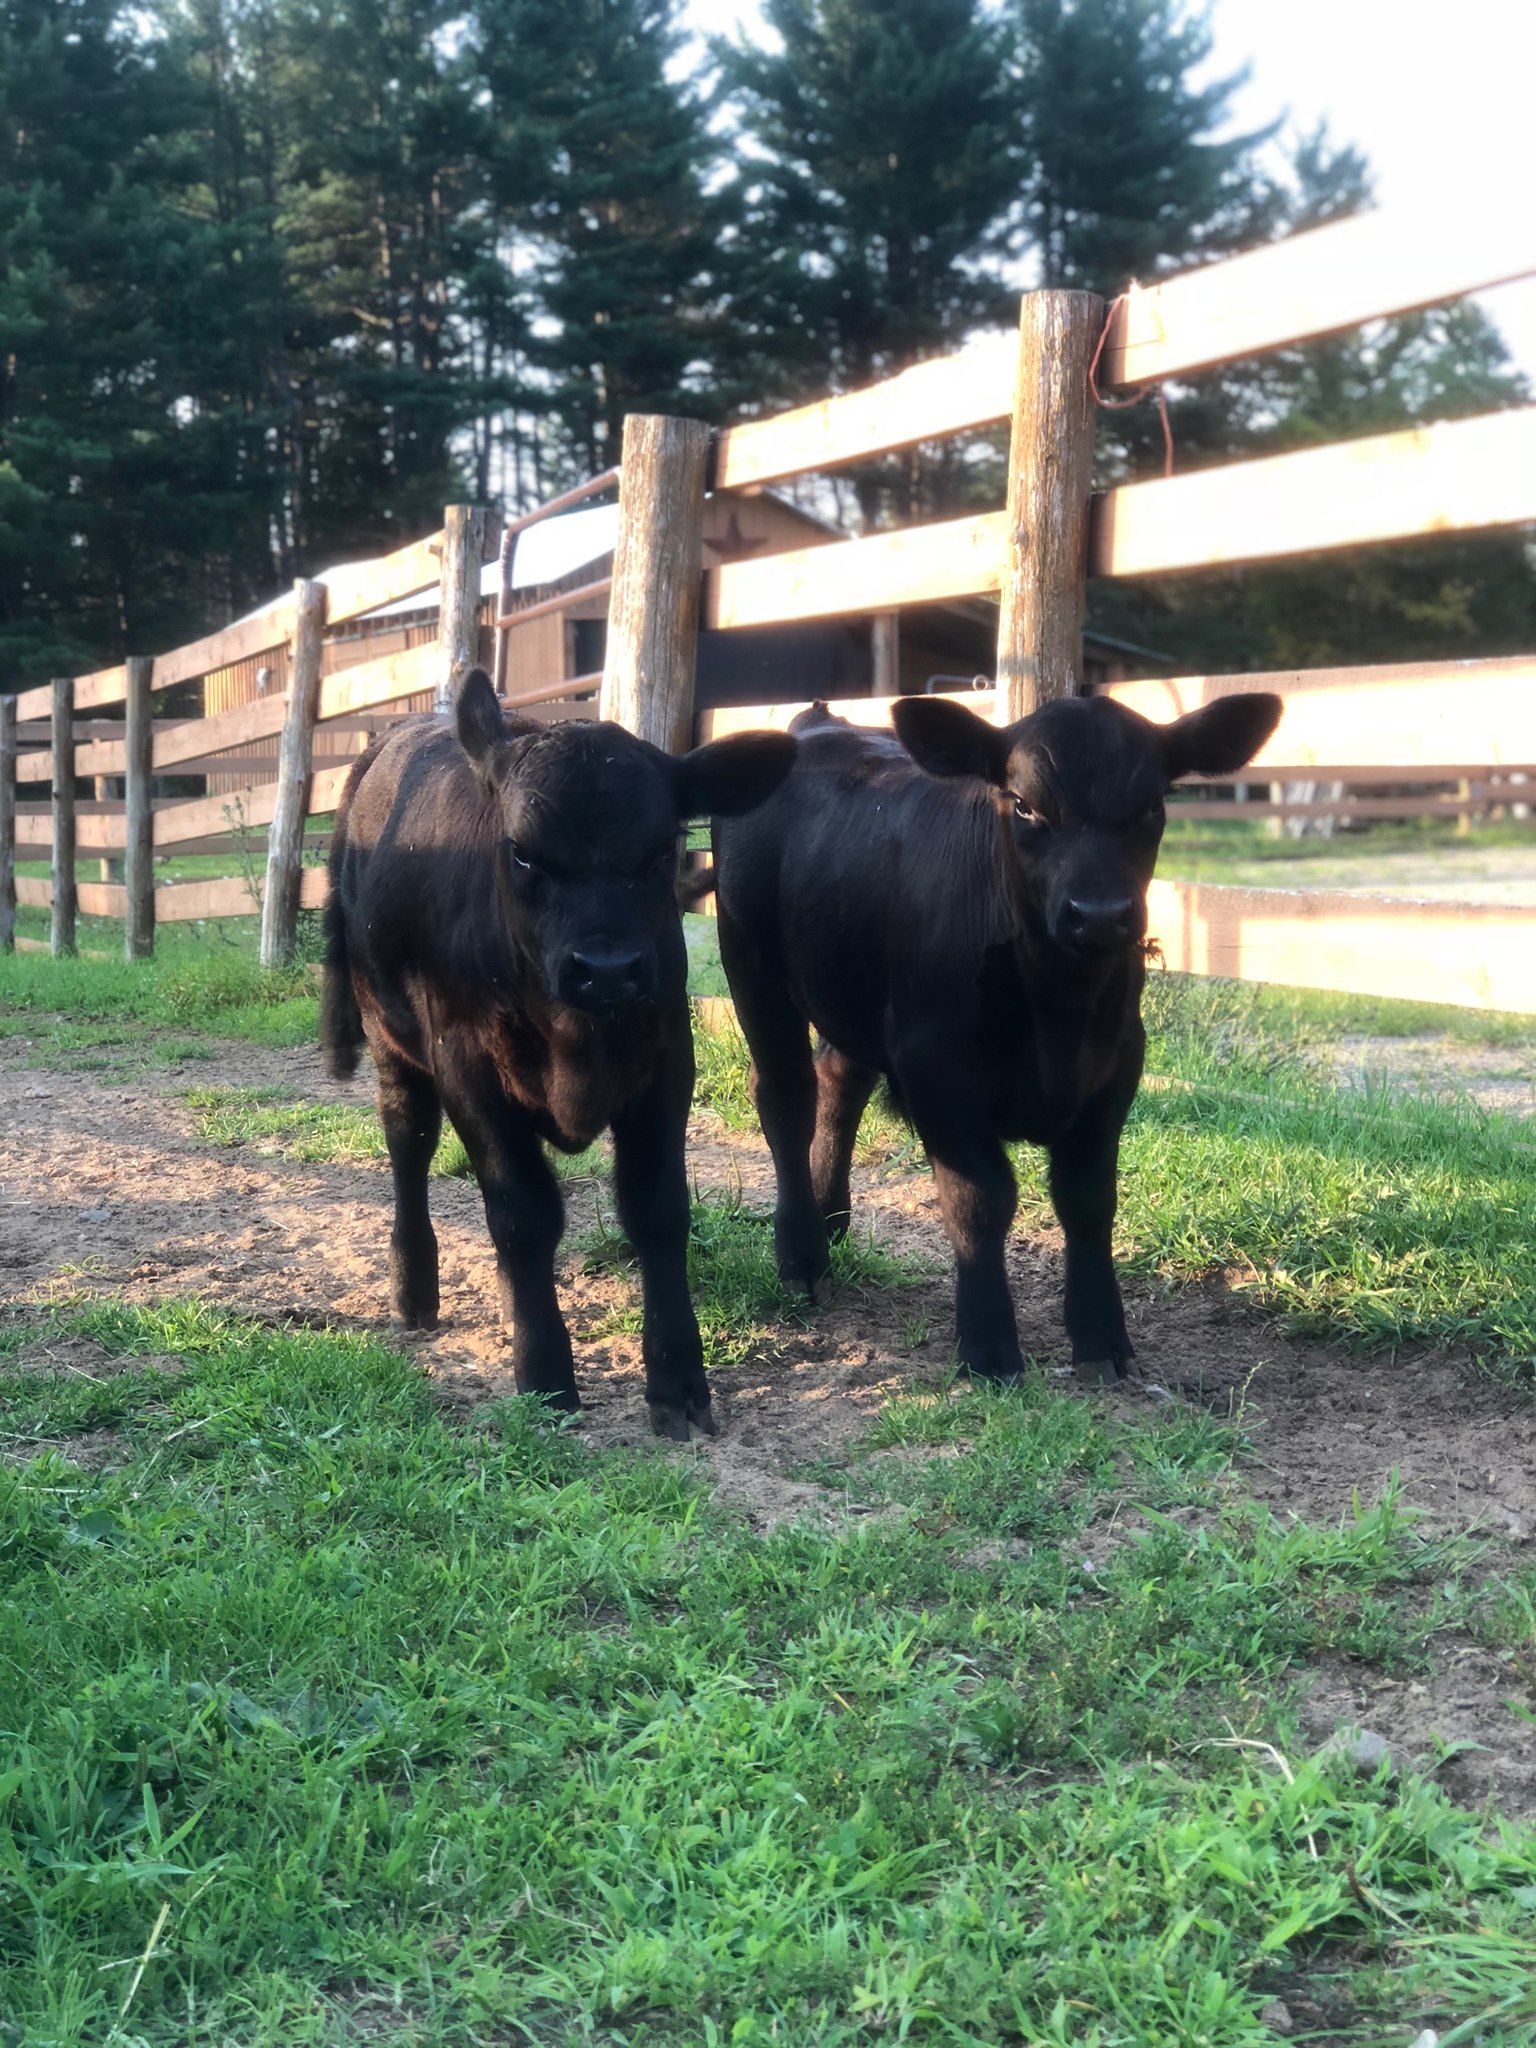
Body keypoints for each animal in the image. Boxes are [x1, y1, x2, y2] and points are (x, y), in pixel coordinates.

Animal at [320, 669, 795, 1439]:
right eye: (521, 851)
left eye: (661, 851)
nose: (605, 969)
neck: (575, 1038)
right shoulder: (466, 1064)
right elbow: (522, 1213)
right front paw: (543, 1372)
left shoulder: (666, 1058)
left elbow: (658, 1209)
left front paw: (678, 1378)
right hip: (391, 1038)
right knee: (408, 1146)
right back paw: (413, 1287)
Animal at [711, 688, 1282, 1388]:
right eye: (1025, 805)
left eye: (1152, 805)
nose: (1098, 915)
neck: (1057, 1012)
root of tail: (818, 722)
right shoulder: (934, 1064)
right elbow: (979, 1199)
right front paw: (987, 1346)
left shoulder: (1118, 1064)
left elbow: (1087, 1198)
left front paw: (1101, 1336)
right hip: (752, 963)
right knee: (785, 1098)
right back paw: (801, 1257)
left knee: (839, 1083)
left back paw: (829, 1217)